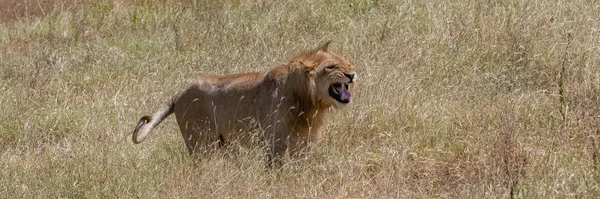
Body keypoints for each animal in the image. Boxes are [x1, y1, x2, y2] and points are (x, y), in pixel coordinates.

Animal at [132, 41, 356, 166]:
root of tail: (178, 94)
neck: (310, 102)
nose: (352, 74)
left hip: (224, 143)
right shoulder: (275, 140)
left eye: (348, 63)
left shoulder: (304, 140)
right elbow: (275, 167)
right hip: (201, 142)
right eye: (331, 67)